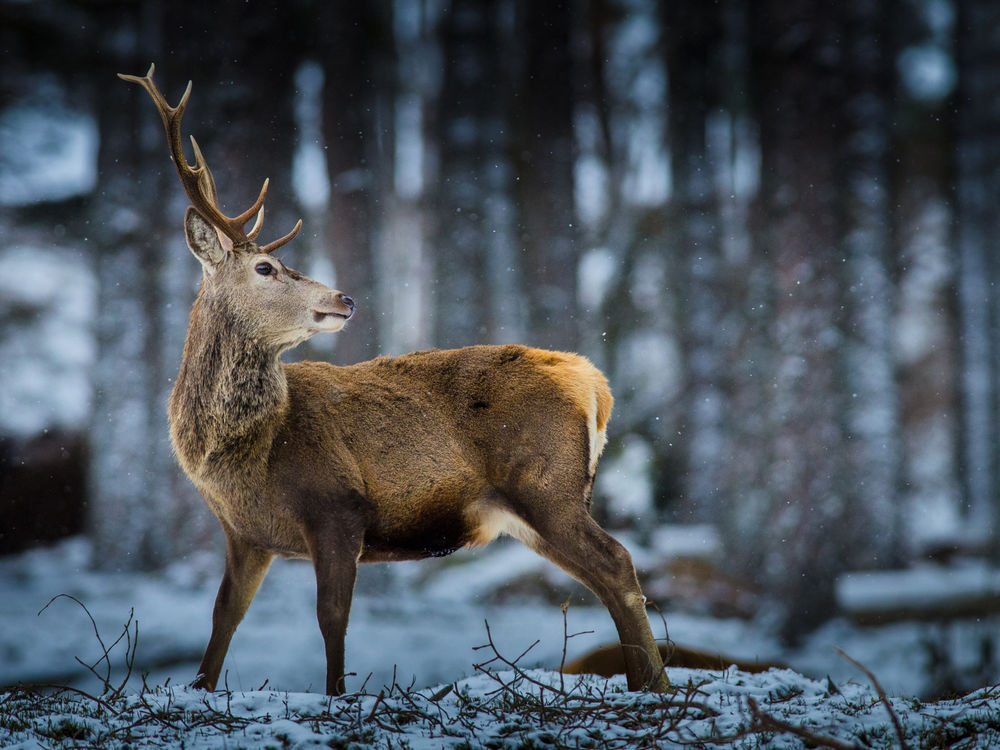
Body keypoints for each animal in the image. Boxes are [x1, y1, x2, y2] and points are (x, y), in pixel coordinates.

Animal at [119, 64, 669, 695]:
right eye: (265, 267)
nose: (345, 299)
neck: (246, 452)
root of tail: (594, 382)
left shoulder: (338, 504)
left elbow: (332, 618)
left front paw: (337, 695)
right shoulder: (245, 533)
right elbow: (223, 619)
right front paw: (201, 689)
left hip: (545, 483)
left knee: (618, 563)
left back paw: (655, 686)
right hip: (533, 507)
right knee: (604, 576)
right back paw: (647, 683)